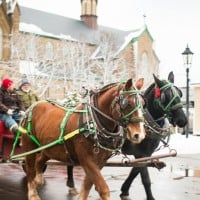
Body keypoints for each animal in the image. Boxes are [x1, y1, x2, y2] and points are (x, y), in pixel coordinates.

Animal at [120, 71, 188, 200]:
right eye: (165, 96)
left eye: (180, 94)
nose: (182, 120)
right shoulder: (141, 154)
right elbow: (145, 179)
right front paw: (150, 197)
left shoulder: (145, 154)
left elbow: (135, 171)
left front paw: (124, 190)